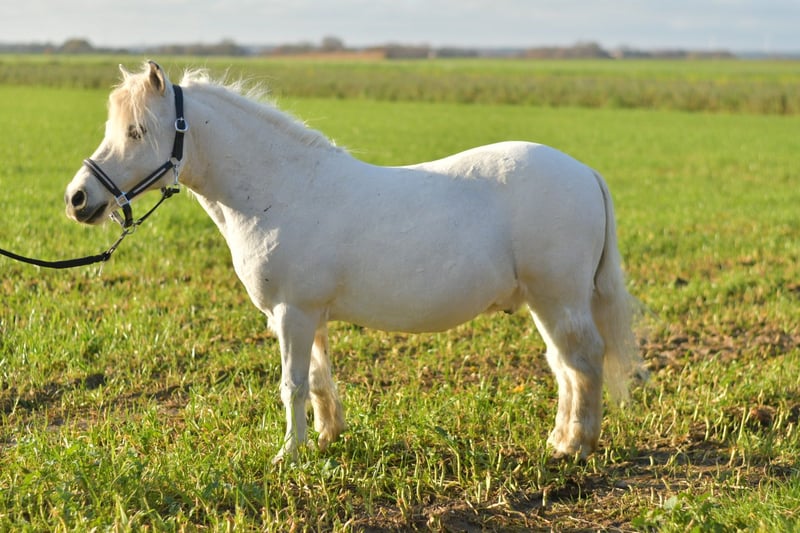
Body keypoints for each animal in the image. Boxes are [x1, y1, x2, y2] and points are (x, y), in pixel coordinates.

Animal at [64, 61, 641, 462]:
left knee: (583, 360)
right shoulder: (303, 317)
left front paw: (288, 454)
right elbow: (318, 380)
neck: (282, 190)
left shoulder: (293, 314)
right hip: (544, 302)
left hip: (559, 297)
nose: (77, 198)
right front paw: (325, 439)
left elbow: (292, 385)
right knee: (564, 365)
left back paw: (577, 446)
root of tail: (585, 171)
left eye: (137, 131)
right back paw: (559, 439)